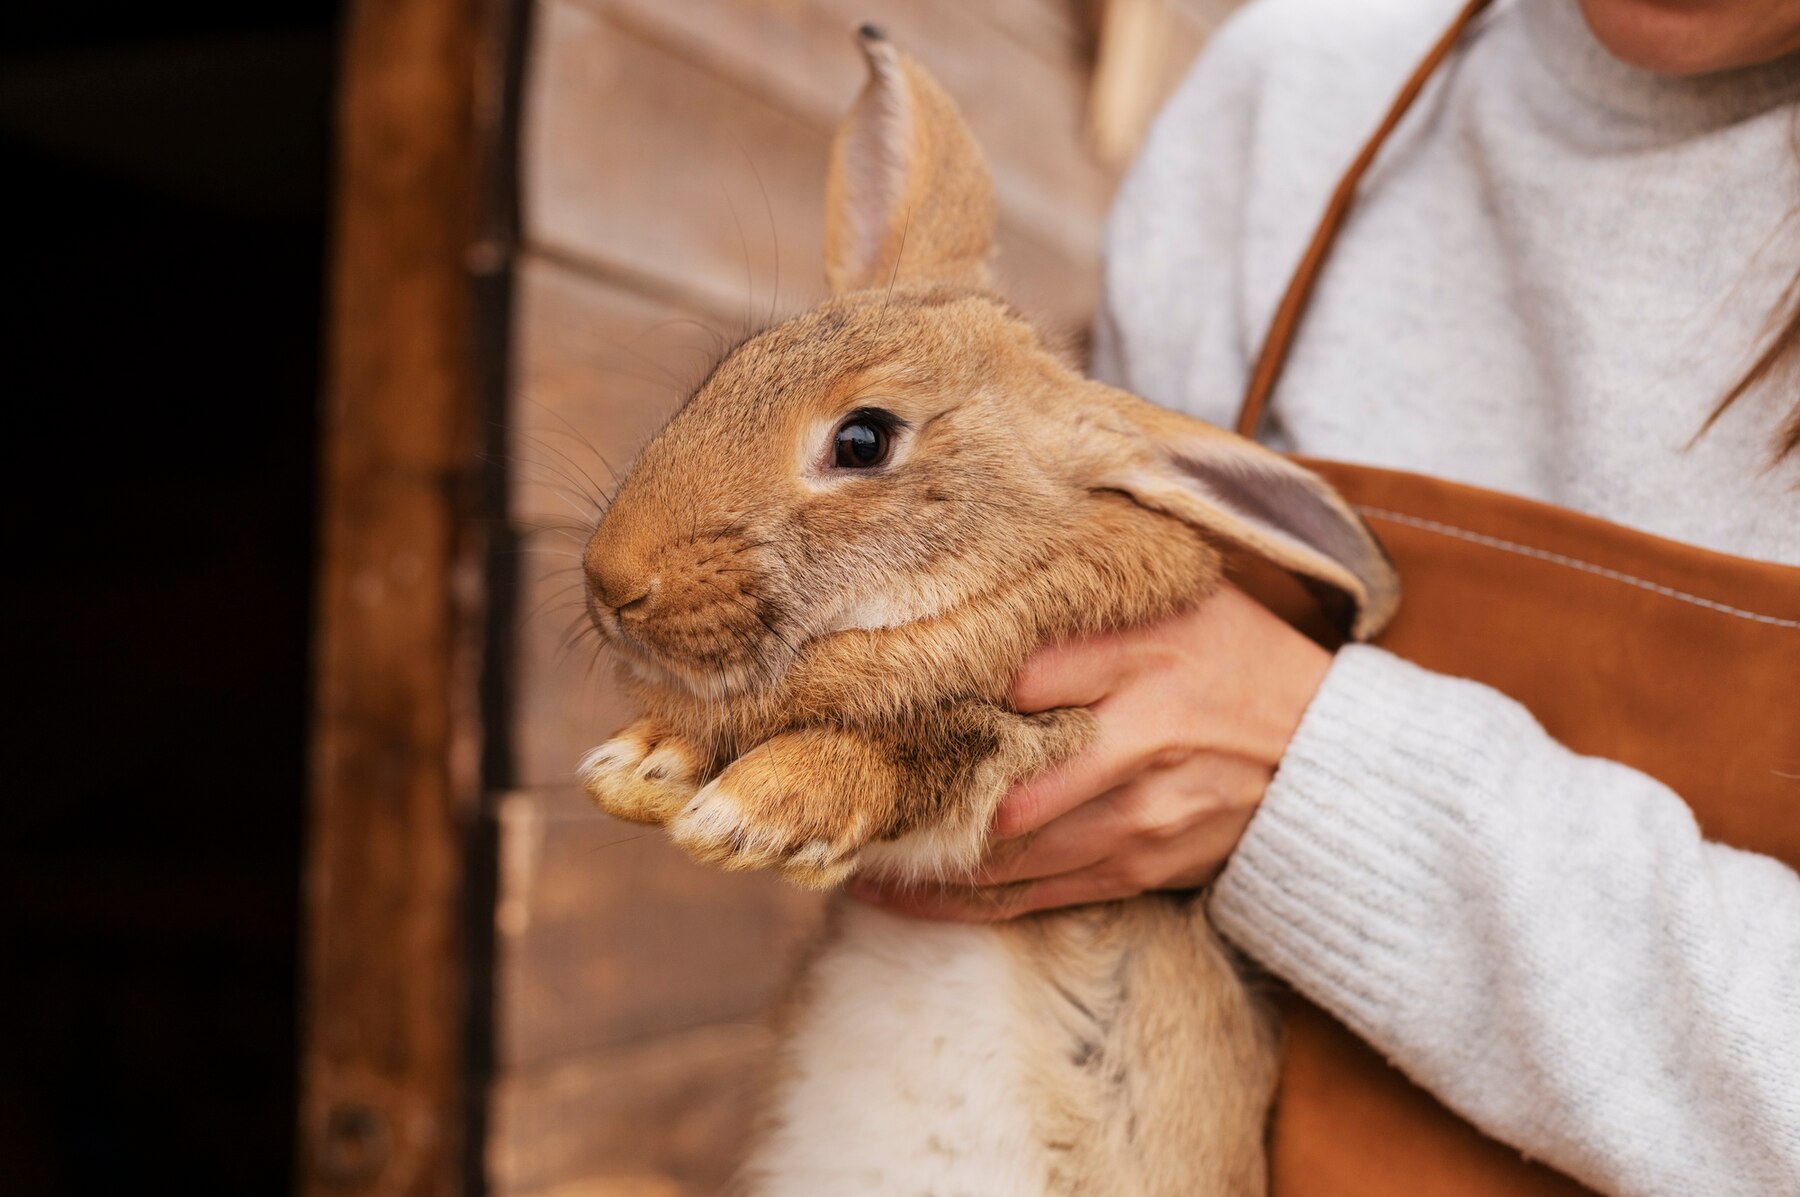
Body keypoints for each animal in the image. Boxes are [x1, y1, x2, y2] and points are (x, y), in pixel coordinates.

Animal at [572, 28, 1389, 1195]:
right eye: (726, 373)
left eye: (863, 440)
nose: (611, 580)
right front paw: (643, 764)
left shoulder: (1044, 742)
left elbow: (930, 743)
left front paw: (761, 808)